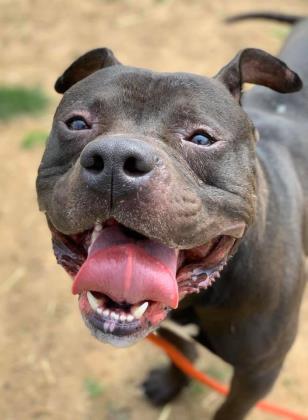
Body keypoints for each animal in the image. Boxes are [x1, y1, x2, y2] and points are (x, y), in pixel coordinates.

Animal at [35, 11, 306, 418]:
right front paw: (170, 383)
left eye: (202, 138)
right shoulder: (163, 325)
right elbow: (180, 352)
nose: (116, 160)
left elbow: (228, 410)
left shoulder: (258, 373)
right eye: (77, 123)